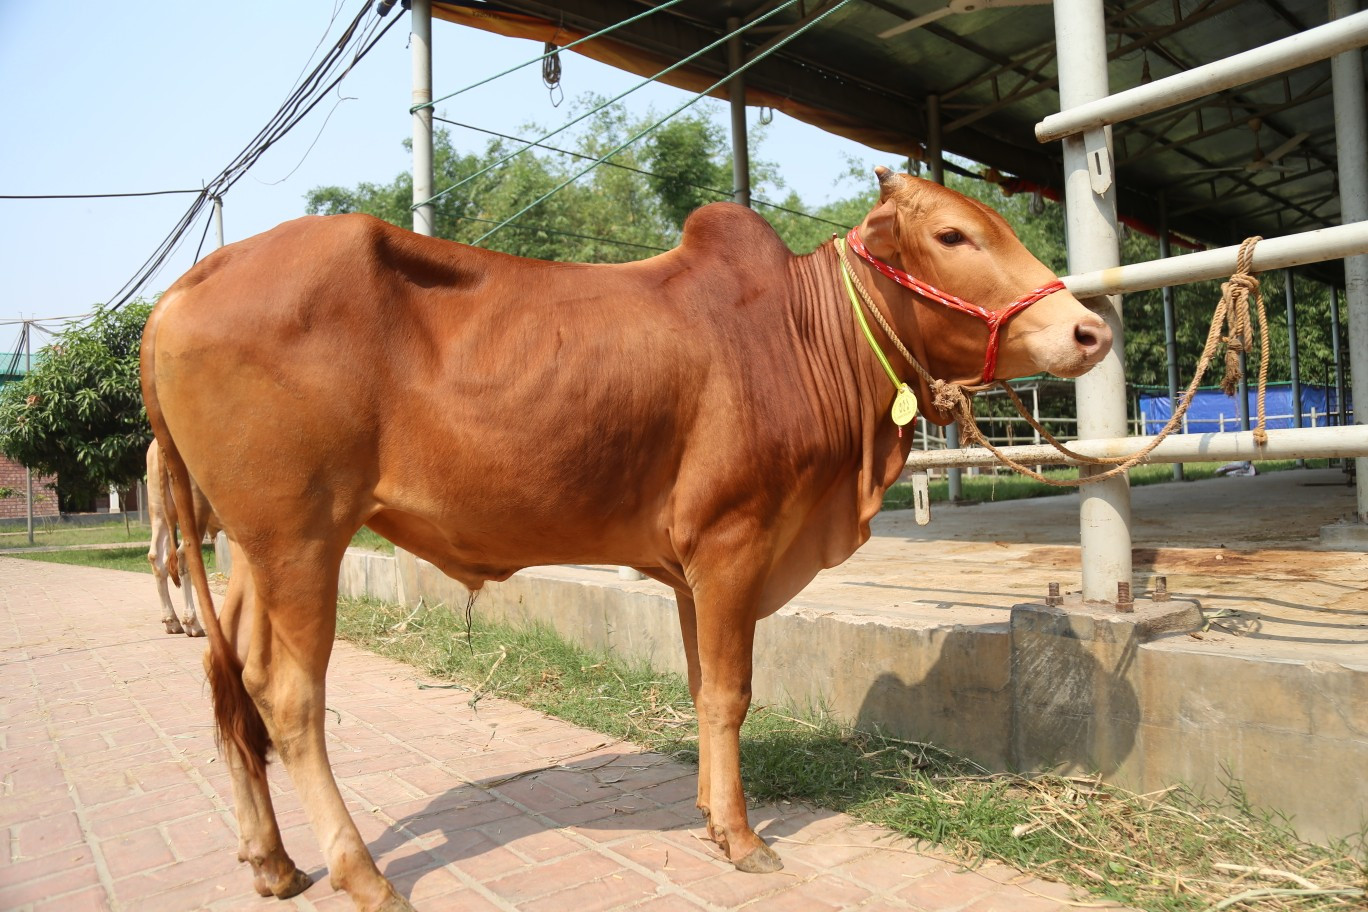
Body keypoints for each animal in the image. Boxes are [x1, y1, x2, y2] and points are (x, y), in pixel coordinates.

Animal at [145, 438, 222, 637]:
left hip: (159, 511)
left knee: (156, 557)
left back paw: (171, 621)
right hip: (194, 510)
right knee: (185, 555)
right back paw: (192, 622)